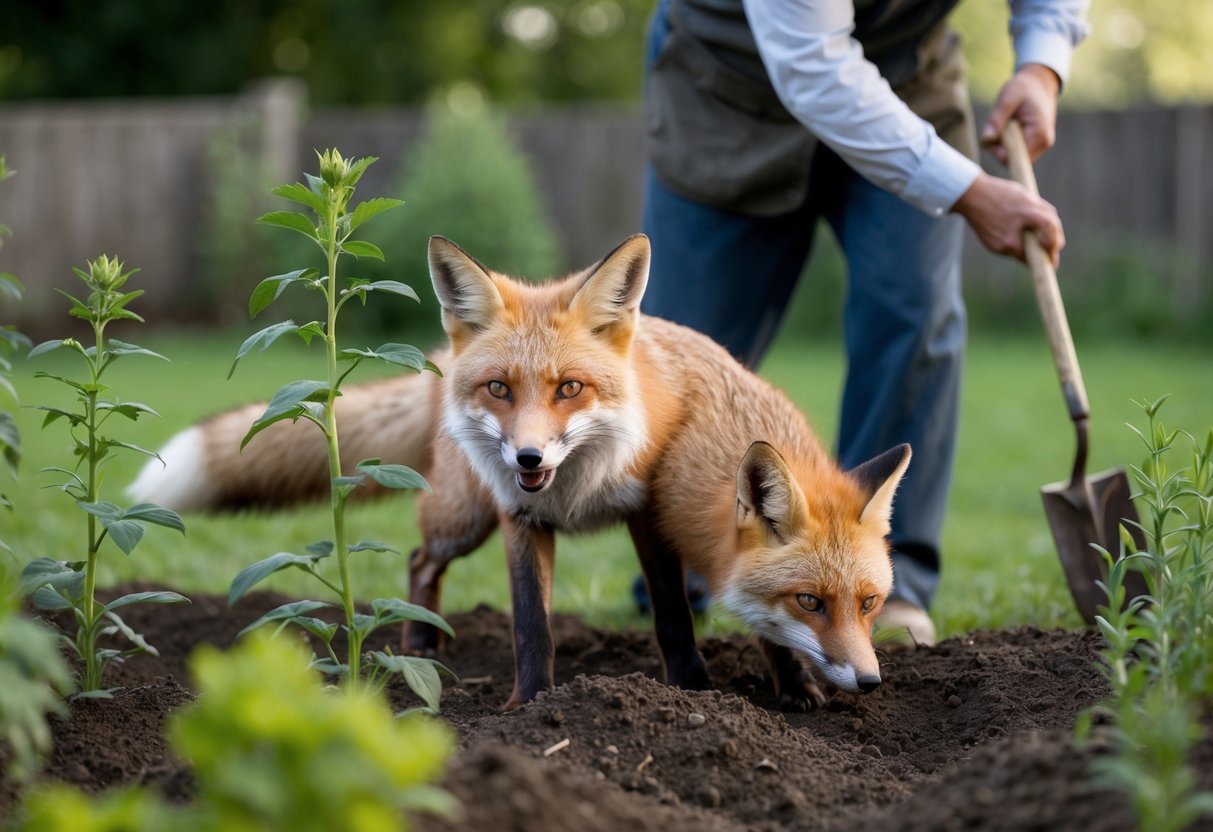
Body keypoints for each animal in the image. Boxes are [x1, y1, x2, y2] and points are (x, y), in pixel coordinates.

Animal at [131, 234, 911, 710]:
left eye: (570, 388)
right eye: (501, 389)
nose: (528, 458)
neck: (576, 487)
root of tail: (434, 359)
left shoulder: (649, 516)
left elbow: (673, 615)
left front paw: (716, 689)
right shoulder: (518, 517)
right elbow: (532, 625)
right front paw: (532, 710)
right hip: (463, 518)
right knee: (418, 560)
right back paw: (419, 644)